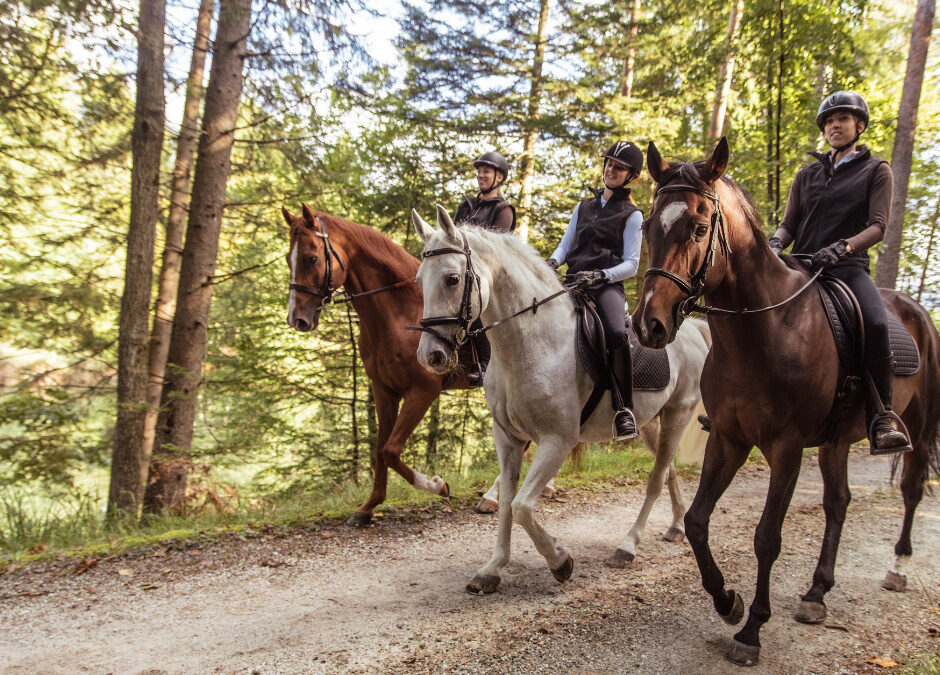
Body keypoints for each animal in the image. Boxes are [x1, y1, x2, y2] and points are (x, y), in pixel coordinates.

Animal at [280, 206, 468, 528]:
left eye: (311, 258)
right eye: (287, 258)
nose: (297, 319)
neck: (399, 313)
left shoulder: (422, 391)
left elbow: (390, 451)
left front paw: (438, 485)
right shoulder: (384, 391)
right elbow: (381, 449)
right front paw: (368, 507)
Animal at [410, 206, 704, 592]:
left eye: (452, 279)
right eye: (419, 281)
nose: (430, 356)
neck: (531, 341)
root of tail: (693, 330)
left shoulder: (557, 440)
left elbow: (521, 507)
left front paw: (559, 560)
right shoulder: (507, 437)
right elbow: (507, 502)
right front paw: (492, 568)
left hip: (677, 415)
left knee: (655, 479)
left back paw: (628, 545)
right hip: (652, 423)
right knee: (667, 470)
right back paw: (677, 526)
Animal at [632, 140, 940, 668]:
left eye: (698, 228)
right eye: (649, 225)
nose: (649, 325)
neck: (766, 329)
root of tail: (915, 309)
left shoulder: (787, 447)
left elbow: (766, 537)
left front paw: (752, 630)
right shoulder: (729, 439)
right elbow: (696, 522)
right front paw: (727, 602)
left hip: (916, 429)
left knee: (912, 489)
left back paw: (898, 567)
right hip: (837, 441)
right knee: (839, 502)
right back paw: (816, 594)